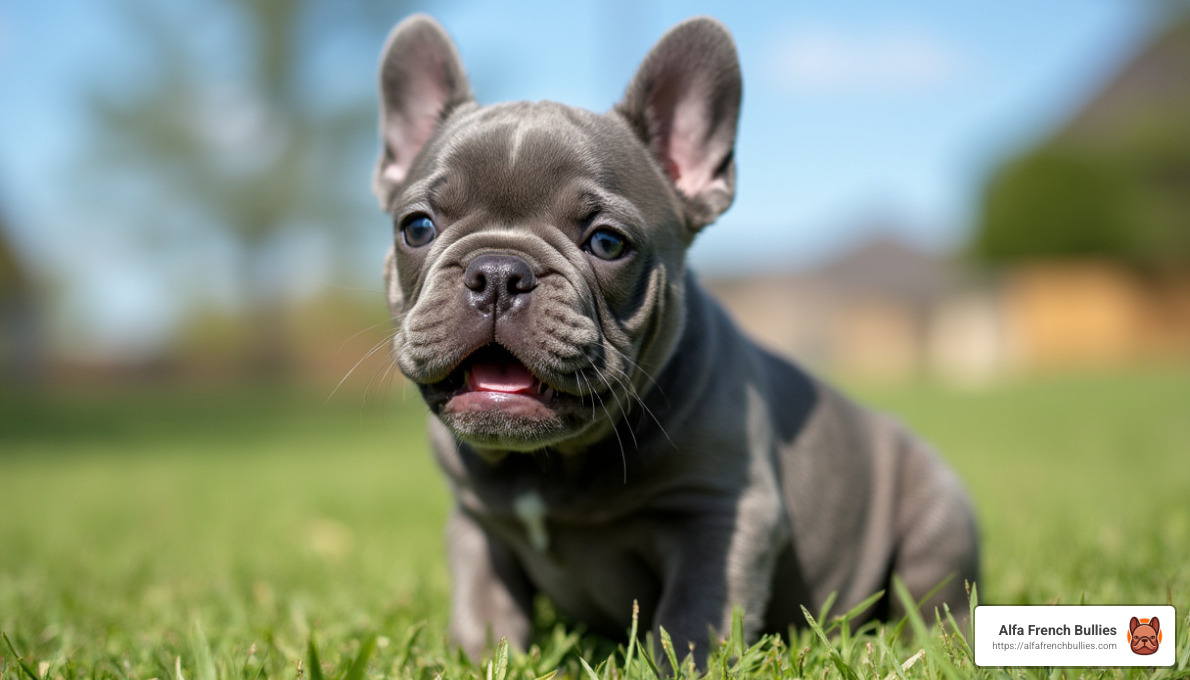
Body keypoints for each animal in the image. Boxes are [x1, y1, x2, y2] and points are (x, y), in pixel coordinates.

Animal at [371, 14, 975, 666]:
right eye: (416, 228)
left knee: (936, 603)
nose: (499, 273)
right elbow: (485, 601)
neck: (551, 465)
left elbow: (690, 616)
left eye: (607, 243)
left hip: (939, 517)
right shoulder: (476, 523)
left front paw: (678, 665)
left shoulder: (721, 512)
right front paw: (484, 658)